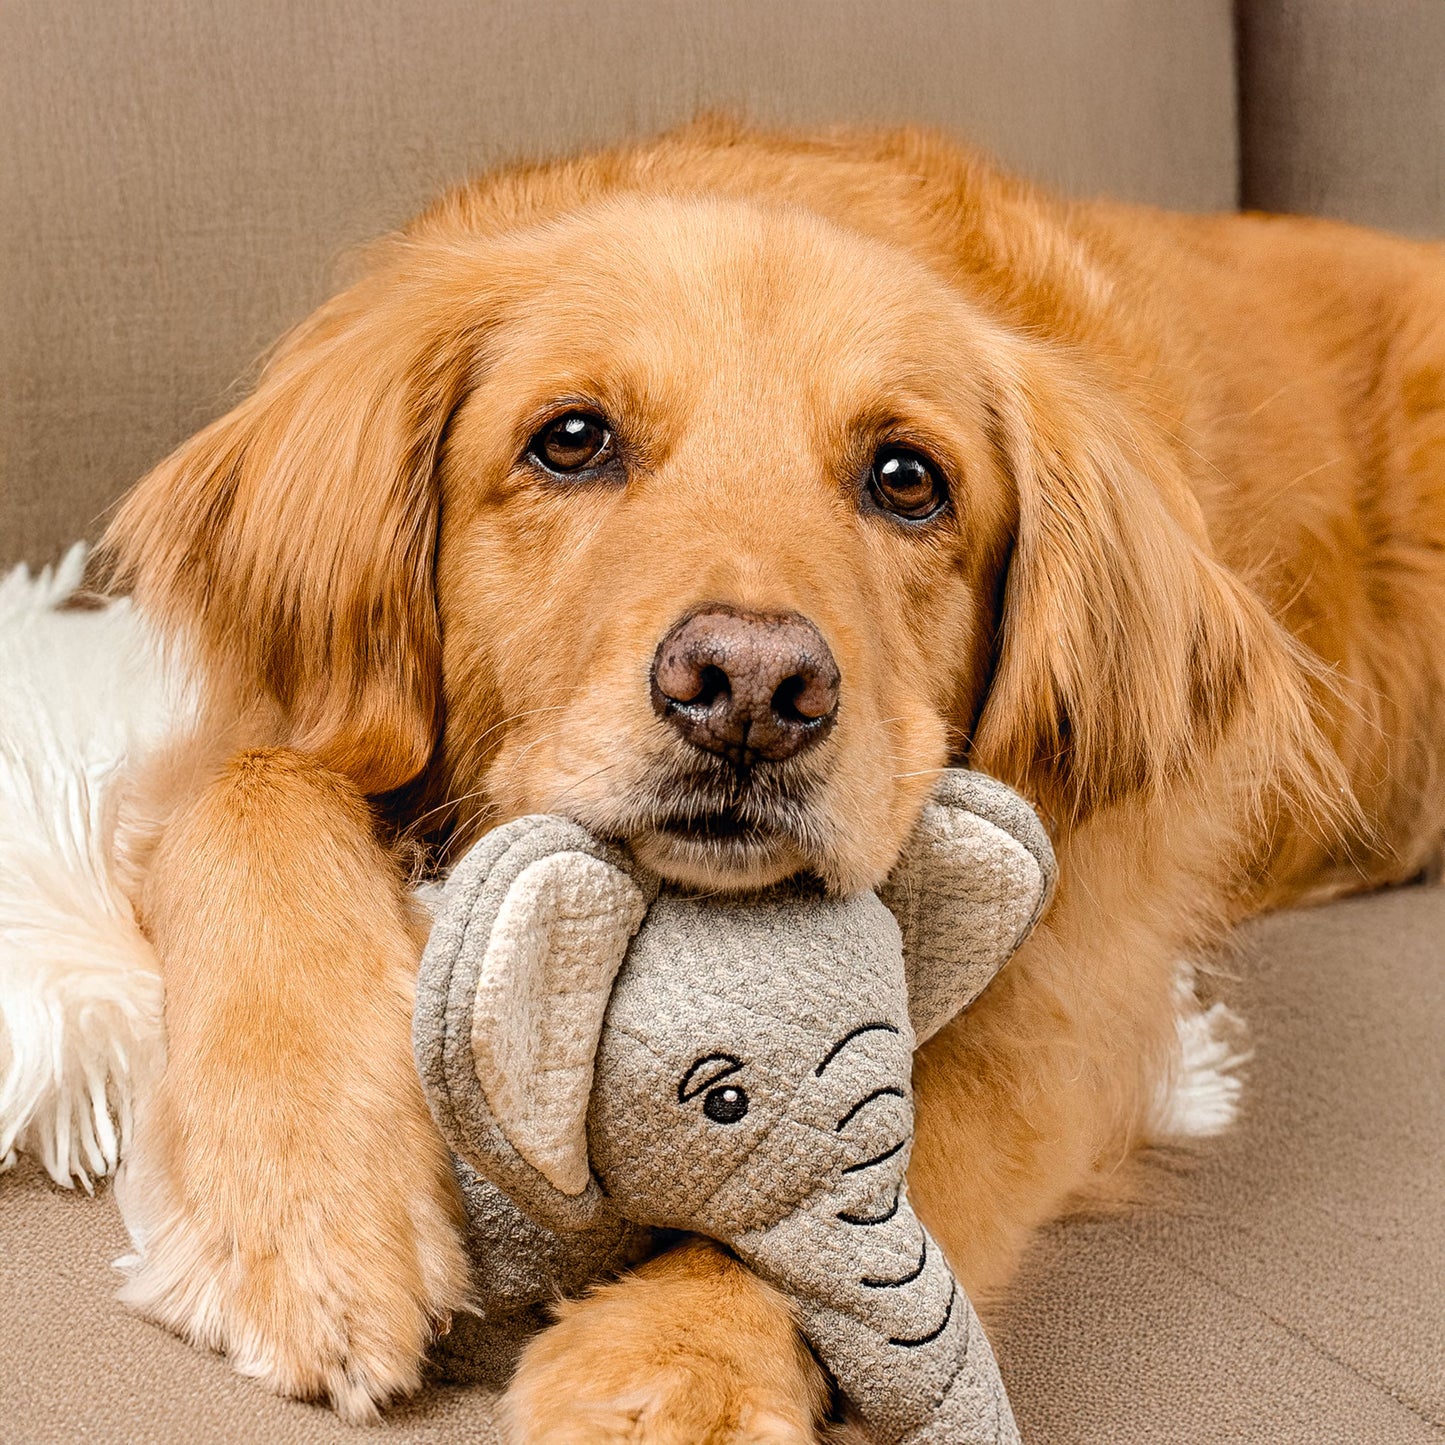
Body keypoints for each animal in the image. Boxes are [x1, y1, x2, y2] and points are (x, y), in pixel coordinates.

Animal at [98, 118, 1445, 1439]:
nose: (748, 688)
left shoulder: (1065, 985)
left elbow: (880, 1148)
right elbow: (253, 792)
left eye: (906, 478)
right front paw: (308, 1213)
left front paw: (679, 1354)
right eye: (570, 439)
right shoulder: (264, 729)